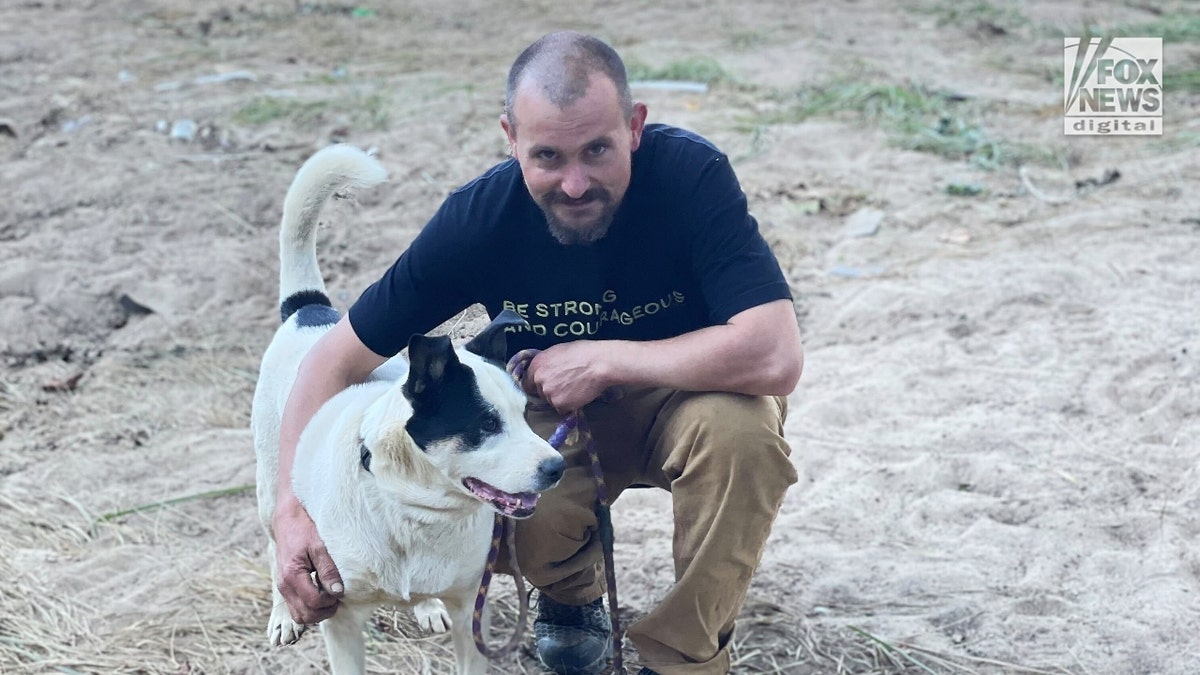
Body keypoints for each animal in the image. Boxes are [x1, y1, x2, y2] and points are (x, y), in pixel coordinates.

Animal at [249, 145, 566, 672]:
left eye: (525, 414)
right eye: (485, 423)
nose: (557, 467)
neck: (414, 511)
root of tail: (309, 309)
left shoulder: (469, 611)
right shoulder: (341, 619)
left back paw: (426, 604)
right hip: (271, 486)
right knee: (276, 543)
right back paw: (282, 613)